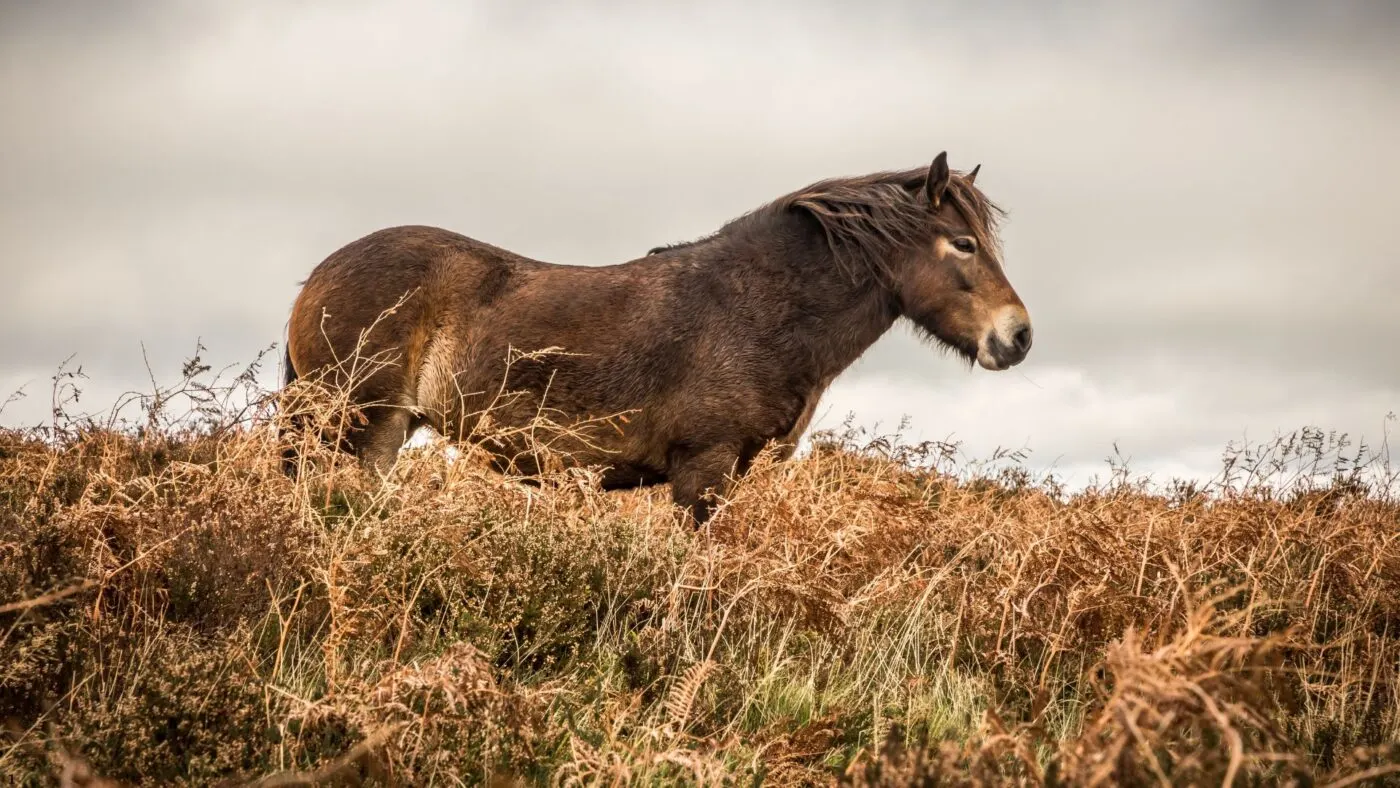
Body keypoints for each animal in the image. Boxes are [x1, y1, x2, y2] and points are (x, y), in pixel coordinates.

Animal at [279, 152, 1032, 525]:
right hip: (356, 426)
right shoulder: (702, 471)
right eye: (963, 243)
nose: (1019, 336)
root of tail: (318, 276)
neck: (755, 307)